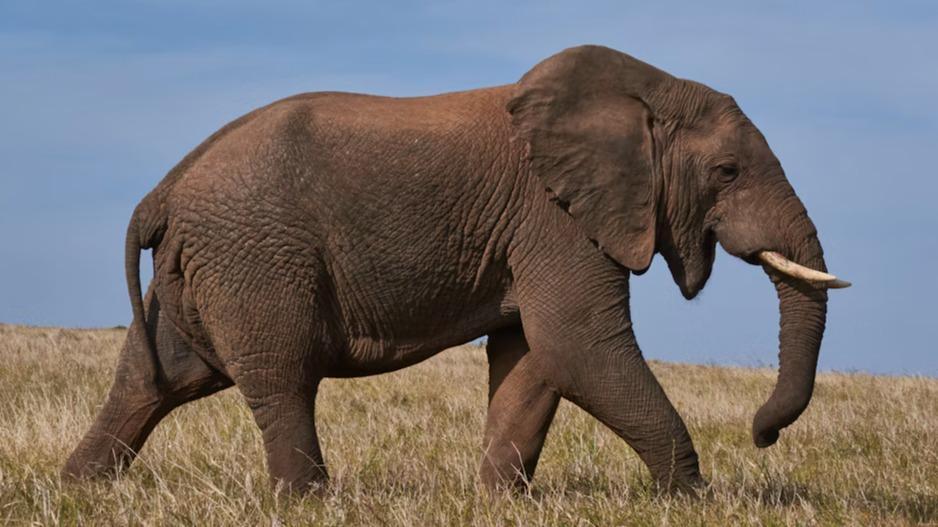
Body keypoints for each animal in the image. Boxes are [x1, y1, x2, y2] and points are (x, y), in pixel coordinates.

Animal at [63, 45, 849, 495]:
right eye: (727, 172)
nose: (762, 434)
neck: (644, 91)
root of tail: (163, 190)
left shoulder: (537, 228)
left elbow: (533, 358)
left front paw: (499, 502)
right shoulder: (554, 217)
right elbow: (579, 346)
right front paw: (687, 498)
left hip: (202, 269)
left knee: (155, 377)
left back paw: (81, 489)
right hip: (254, 256)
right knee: (281, 376)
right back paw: (308, 502)